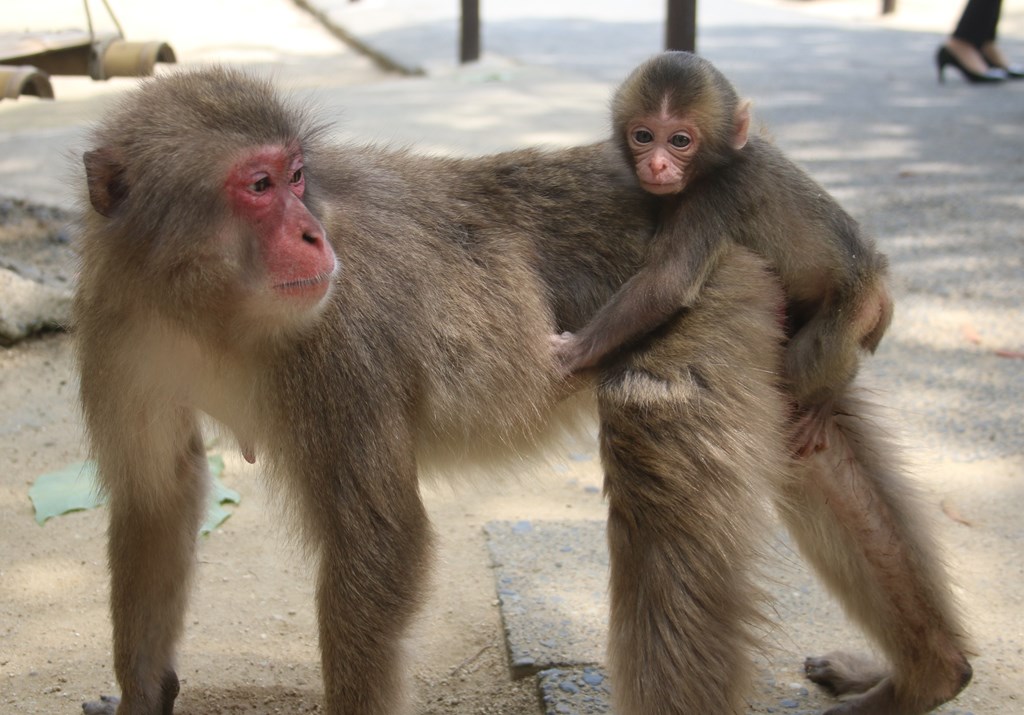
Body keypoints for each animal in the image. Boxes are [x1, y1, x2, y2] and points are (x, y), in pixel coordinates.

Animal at [557, 51, 892, 450]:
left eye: (680, 140)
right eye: (643, 136)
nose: (656, 164)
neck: (718, 163)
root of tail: (878, 275)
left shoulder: (716, 195)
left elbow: (668, 282)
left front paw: (576, 351)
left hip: (856, 305)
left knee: (809, 357)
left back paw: (829, 395)